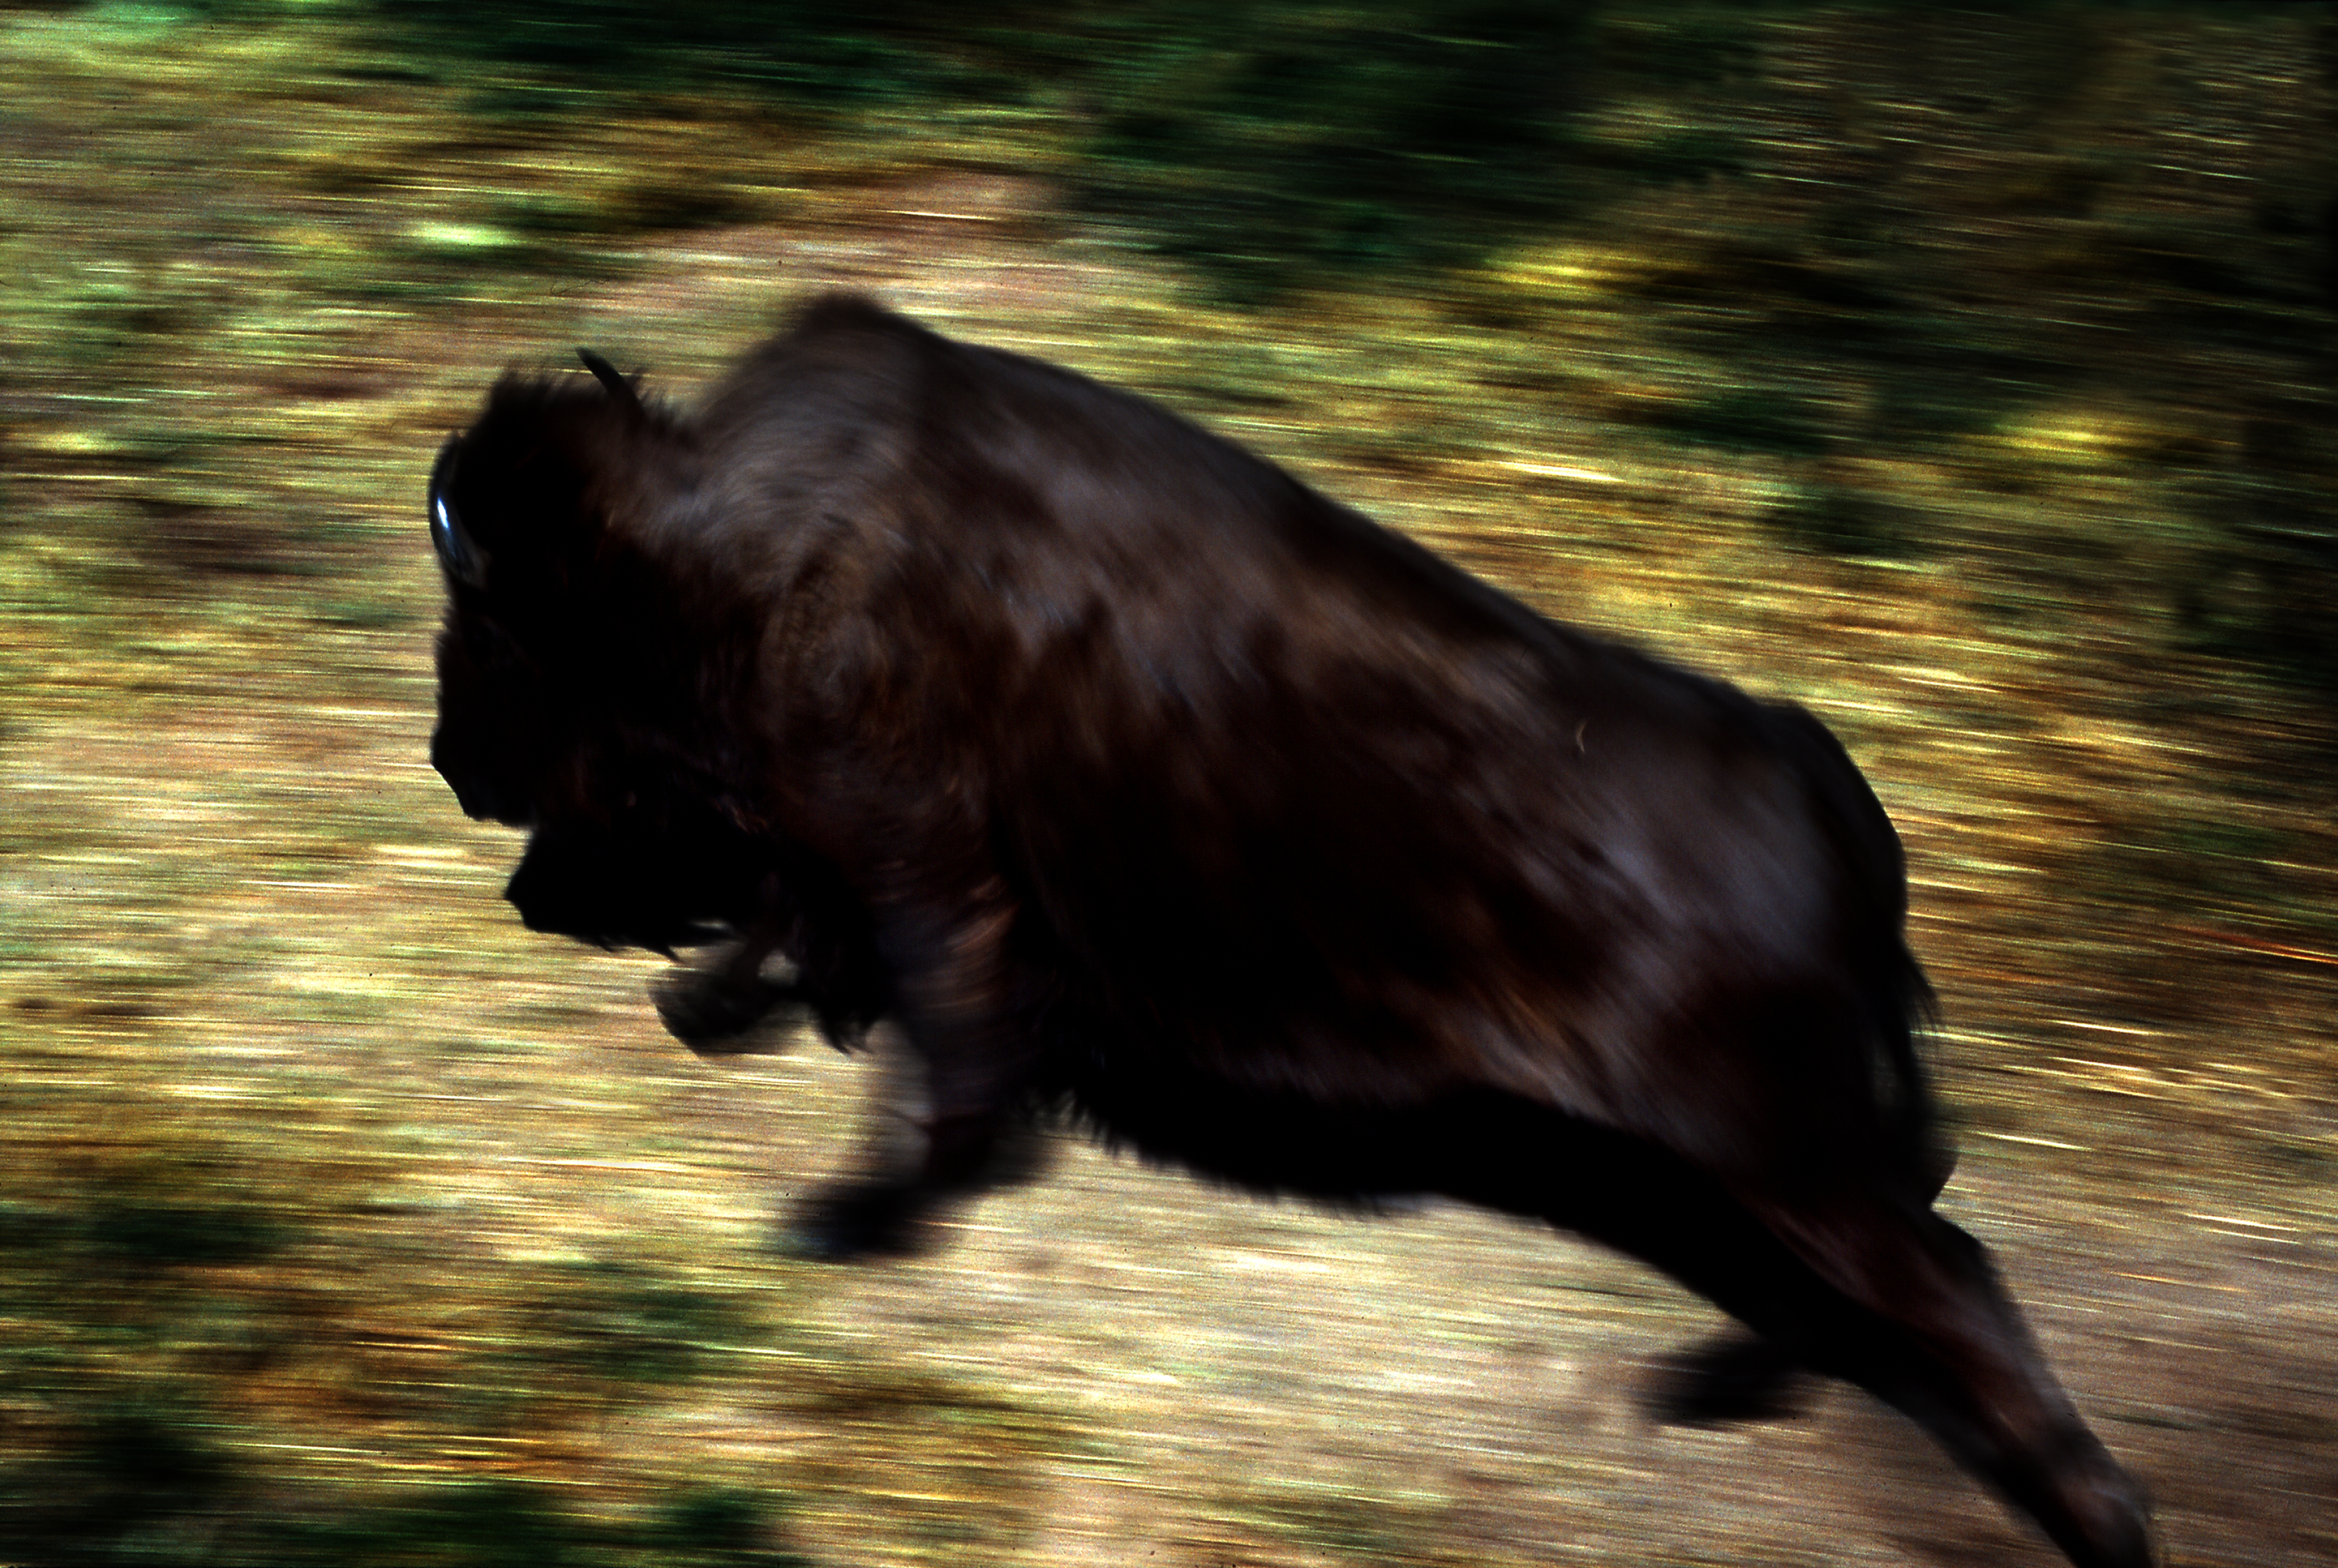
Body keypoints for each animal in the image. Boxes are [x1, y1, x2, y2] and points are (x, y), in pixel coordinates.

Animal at [426, 295, 2153, 1568]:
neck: (725, 543)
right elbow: (816, 946)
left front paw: (846, 1217)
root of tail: (1823, 786)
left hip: (1770, 1145)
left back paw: (2099, 1523)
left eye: (491, 637)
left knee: (1944, 1277)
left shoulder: (921, 866)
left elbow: (941, 1054)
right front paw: (717, 1014)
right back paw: (1705, 1385)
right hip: (1751, 1158)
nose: (453, 772)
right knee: (1875, 1263)